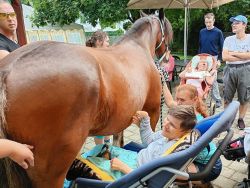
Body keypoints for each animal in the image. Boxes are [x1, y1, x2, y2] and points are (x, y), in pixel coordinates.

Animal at [0, 12, 172, 187]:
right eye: (168, 32)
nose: (167, 58)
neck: (138, 47)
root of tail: (8, 69)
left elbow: (118, 142)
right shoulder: (152, 111)